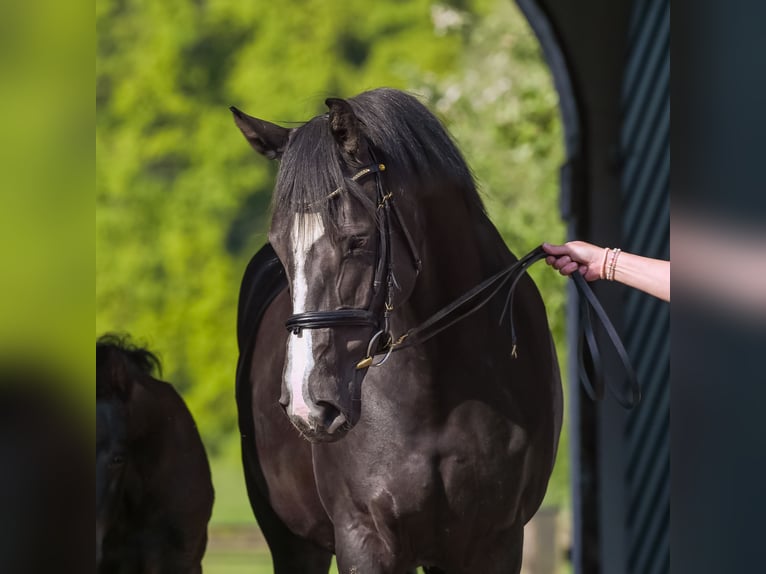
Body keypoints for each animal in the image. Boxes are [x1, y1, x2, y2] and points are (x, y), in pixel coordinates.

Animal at [234, 88, 564, 572]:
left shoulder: (495, 541)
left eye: (356, 238)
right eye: (278, 247)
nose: (307, 405)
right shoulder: (366, 538)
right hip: (293, 541)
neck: (438, 390)